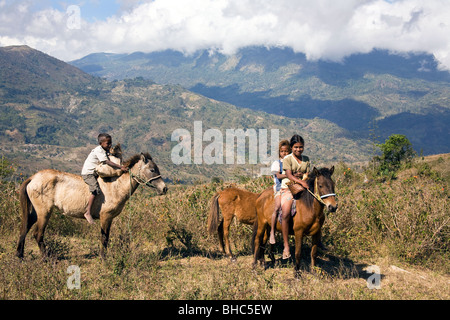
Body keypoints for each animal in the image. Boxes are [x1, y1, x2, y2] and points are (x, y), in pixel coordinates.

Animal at [15, 152, 168, 260]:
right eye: (152, 170)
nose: (164, 188)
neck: (115, 186)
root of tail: (33, 178)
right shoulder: (105, 217)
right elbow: (104, 238)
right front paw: (103, 258)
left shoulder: (109, 219)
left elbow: (105, 237)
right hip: (44, 212)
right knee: (37, 234)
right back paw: (47, 258)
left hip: (35, 212)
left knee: (24, 229)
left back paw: (20, 255)